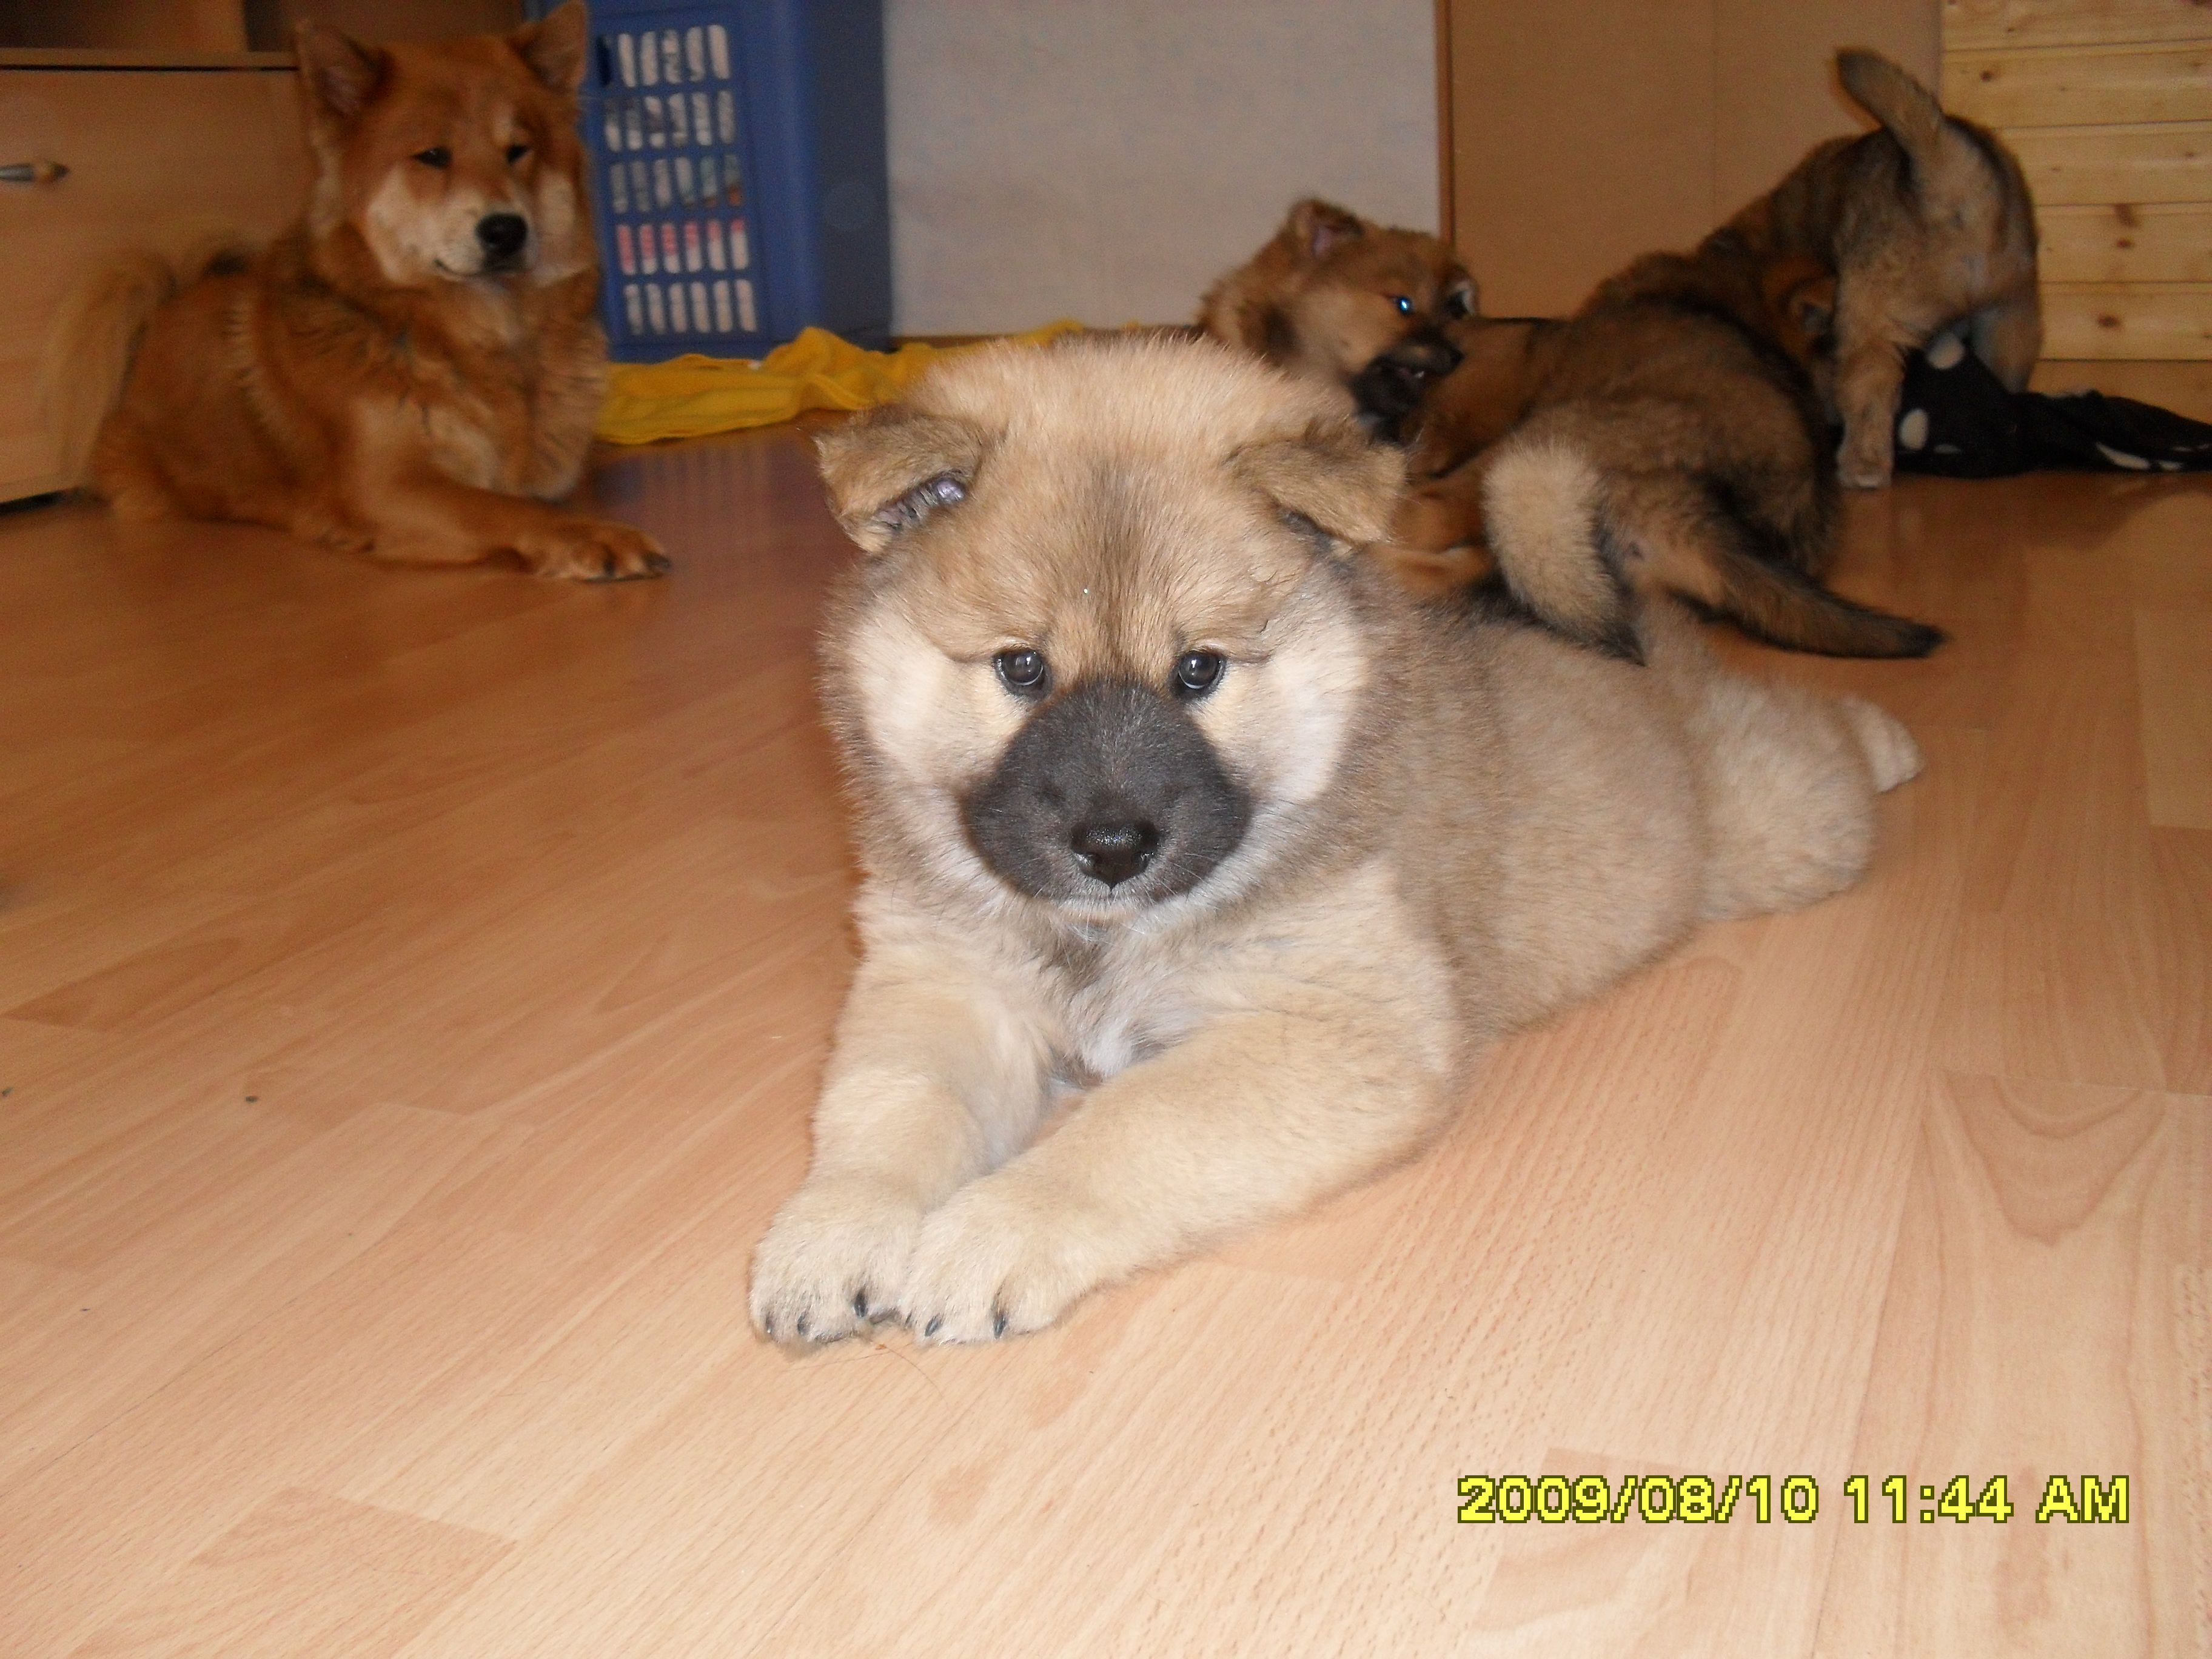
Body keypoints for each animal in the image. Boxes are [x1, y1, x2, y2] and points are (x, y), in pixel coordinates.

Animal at [57, 3, 666, 581]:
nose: (506, 230)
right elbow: (511, 509)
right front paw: (592, 536)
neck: (483, 339)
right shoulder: (390, 486)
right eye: (433, 155)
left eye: (519, 150)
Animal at [746, 333, 1922, 1344]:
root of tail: (1629, 624)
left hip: (1779, 826)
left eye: (1199, 670)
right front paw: (830, 1233)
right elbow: (889, 1110)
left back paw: (1891, 738)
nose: (1114, 846)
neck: (1102, 939)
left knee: (1809, 733)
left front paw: (993, 1230)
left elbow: (1128, 1129)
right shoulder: (944, 984)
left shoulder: (1328, 1032)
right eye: (1021, 668)